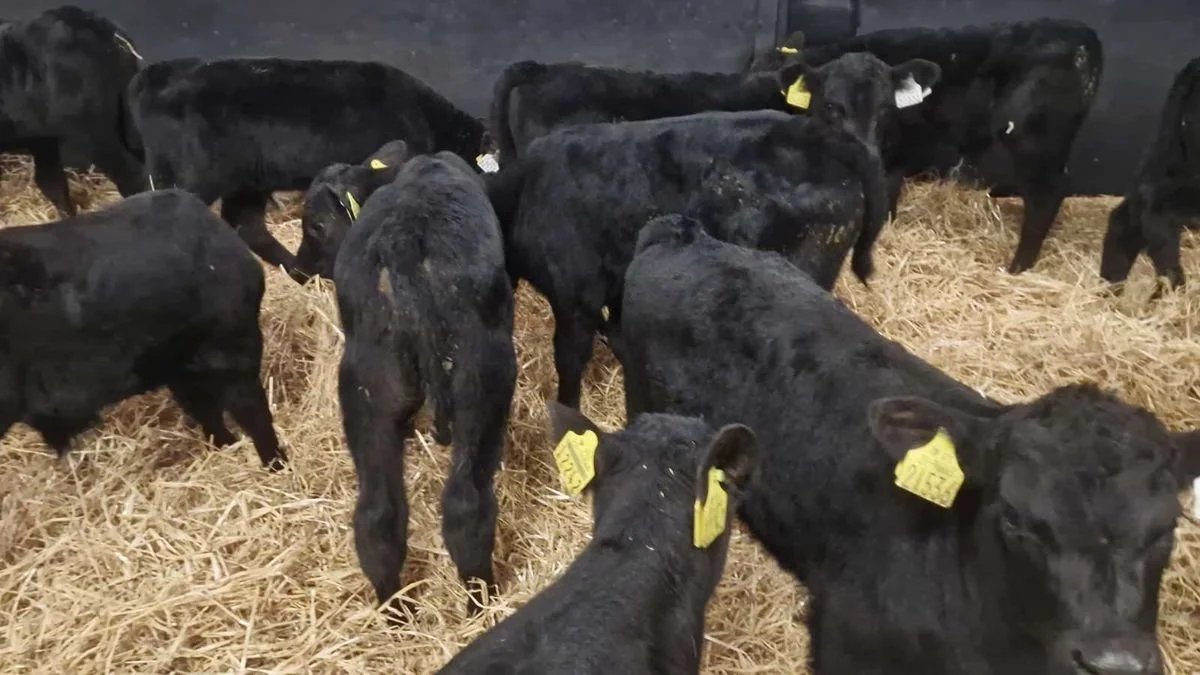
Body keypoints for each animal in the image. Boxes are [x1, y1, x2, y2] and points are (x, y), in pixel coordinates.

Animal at [333, 151, 516, 618]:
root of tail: (404, 250)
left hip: (365, 390)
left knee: (377, 515)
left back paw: (396, 613)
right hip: (481, 381)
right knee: (466, 504)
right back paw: (481, 603)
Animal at [803, 19, 1103, 274]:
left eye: (885, 109)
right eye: (831, 106)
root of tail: (1080, 32)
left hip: (1034, 141)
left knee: (1046, 196)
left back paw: (1017, 268)